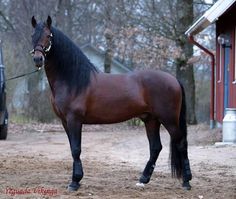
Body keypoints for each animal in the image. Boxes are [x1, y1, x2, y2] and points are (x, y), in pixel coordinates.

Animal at [30, 16, 192, 191]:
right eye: (33, 36)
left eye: (49, 36)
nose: (38, 59)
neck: (73, 80)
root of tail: (174, 80)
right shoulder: (65, 121)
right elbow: (73, 148)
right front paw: (76, 180)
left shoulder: (74, 120)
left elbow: (76, 149)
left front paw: (75, 181)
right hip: (151, 119)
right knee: (156, 148)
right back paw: (143, 179)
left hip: (169, 120)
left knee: (181, 143)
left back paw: (186, 181)